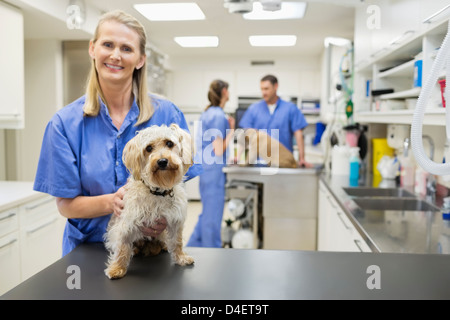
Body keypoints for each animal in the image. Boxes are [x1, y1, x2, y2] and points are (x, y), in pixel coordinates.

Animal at [106, 124, 196, 278]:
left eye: (169, 143)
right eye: (148, 148)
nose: (162, 161)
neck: (158, 192)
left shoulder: (175, 221)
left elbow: (177, 241)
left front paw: (181, 257)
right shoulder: (126, 224)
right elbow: (122, 247)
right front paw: (117, 268)